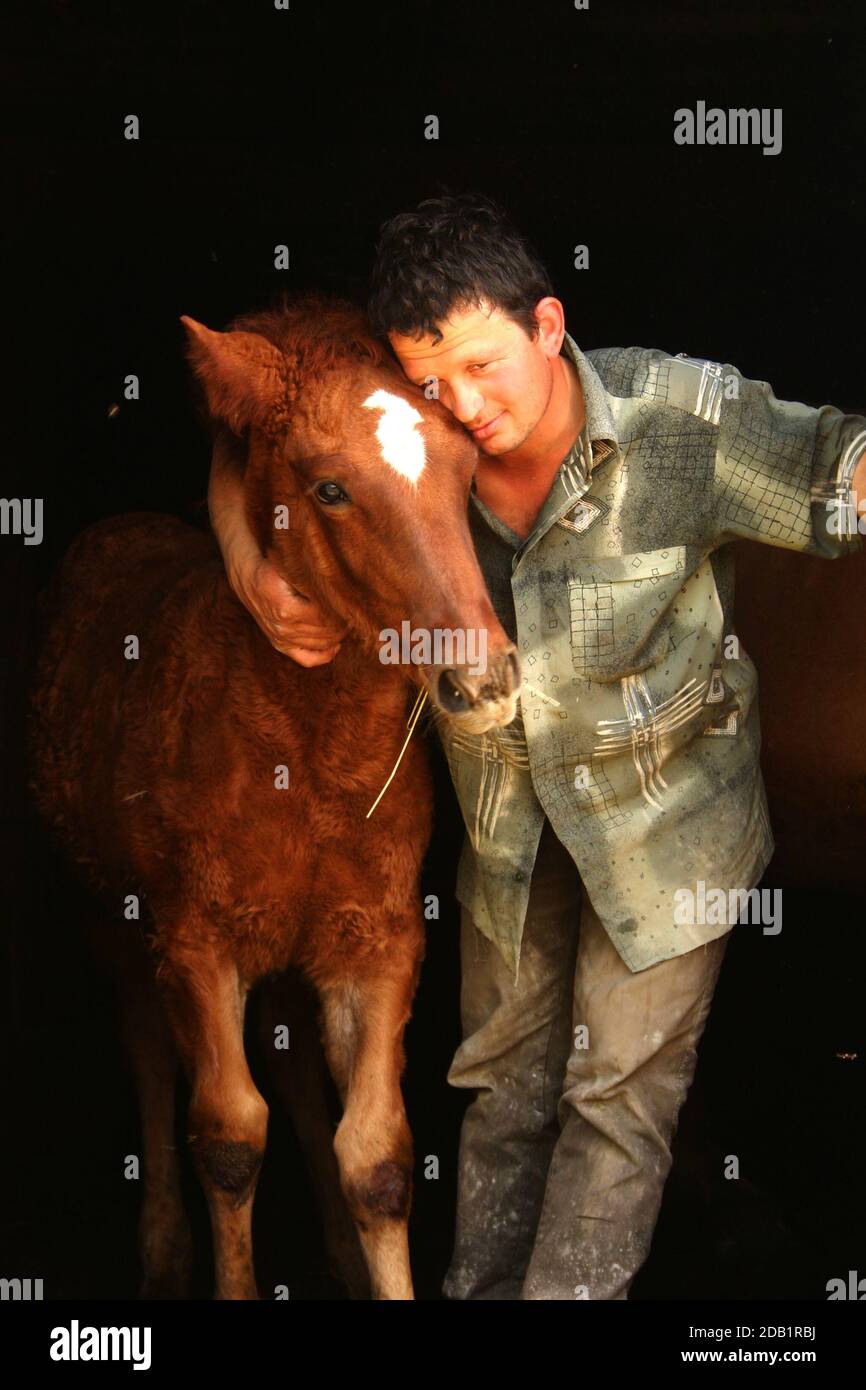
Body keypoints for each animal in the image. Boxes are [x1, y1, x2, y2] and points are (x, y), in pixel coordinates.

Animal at [27, 296, 517, 1301]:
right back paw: (163, 1247)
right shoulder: (197, 945)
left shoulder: (379, 942)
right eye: (328, 489)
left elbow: (377, 1155)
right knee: (147, 1053)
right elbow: (228, 1139)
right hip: (108, 916)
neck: (307, 760)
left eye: (466, 466)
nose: (483, 680)